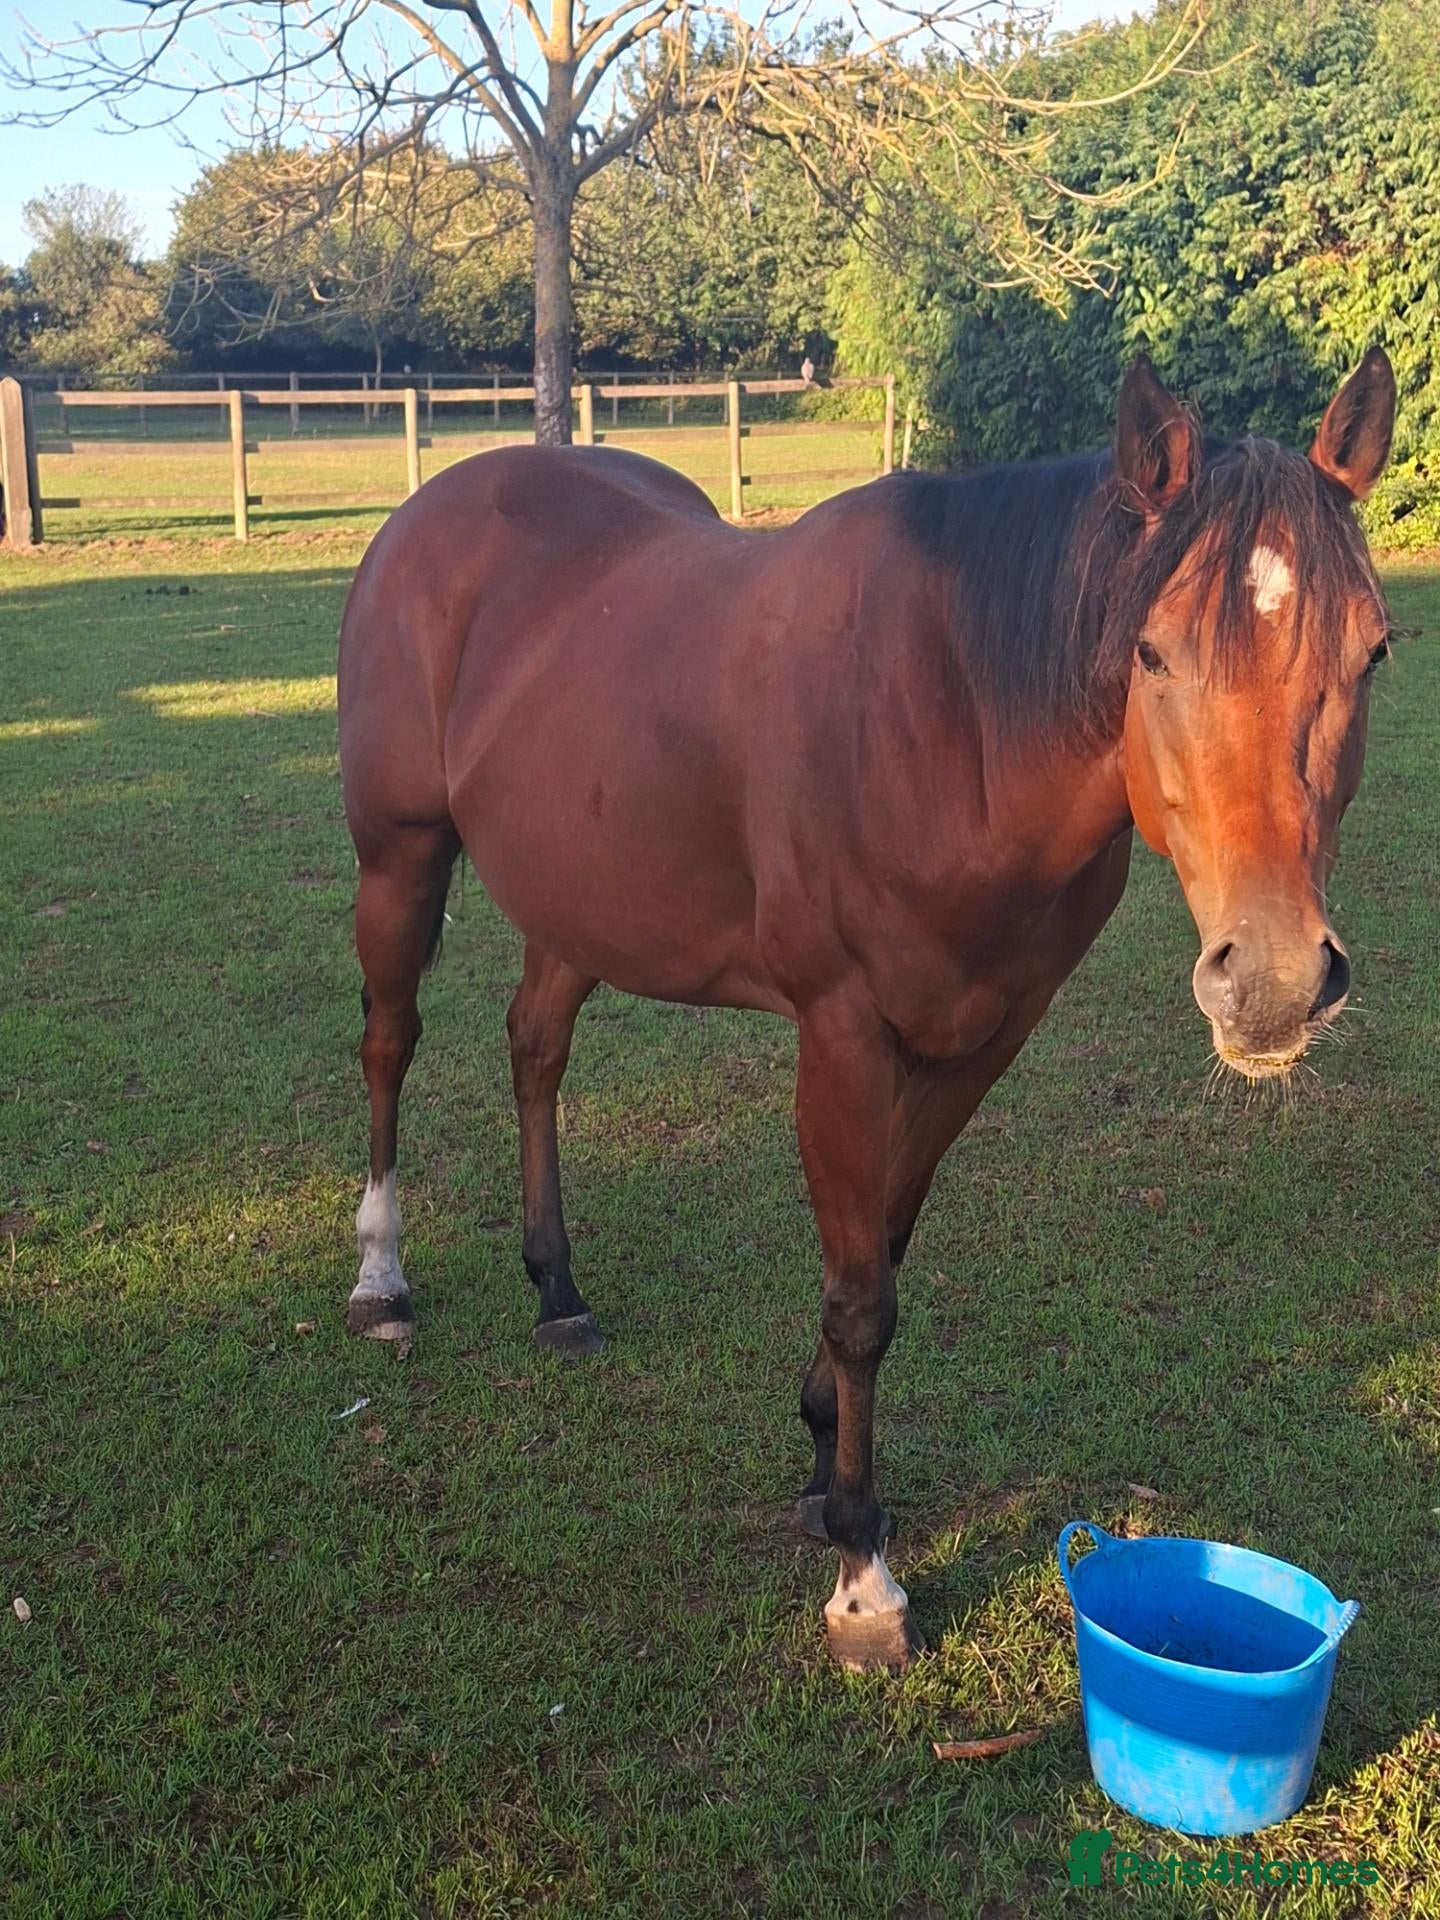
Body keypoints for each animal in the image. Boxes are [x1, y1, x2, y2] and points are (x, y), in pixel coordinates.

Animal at [337, 351, 1395, 1670]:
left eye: (1375, 653)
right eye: (1152, 654)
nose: (1273, 981)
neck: (952, 717)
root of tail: (434, 510)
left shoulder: (980, 1038)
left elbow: (880, 1246)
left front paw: (820, 1458)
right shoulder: (842, 1037)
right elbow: (859, 1302)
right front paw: (861, 1574)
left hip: (578, 895)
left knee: (535, 1049)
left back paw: (557, 1291)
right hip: (400, 858)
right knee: (390, 1044)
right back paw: (381, 1278)